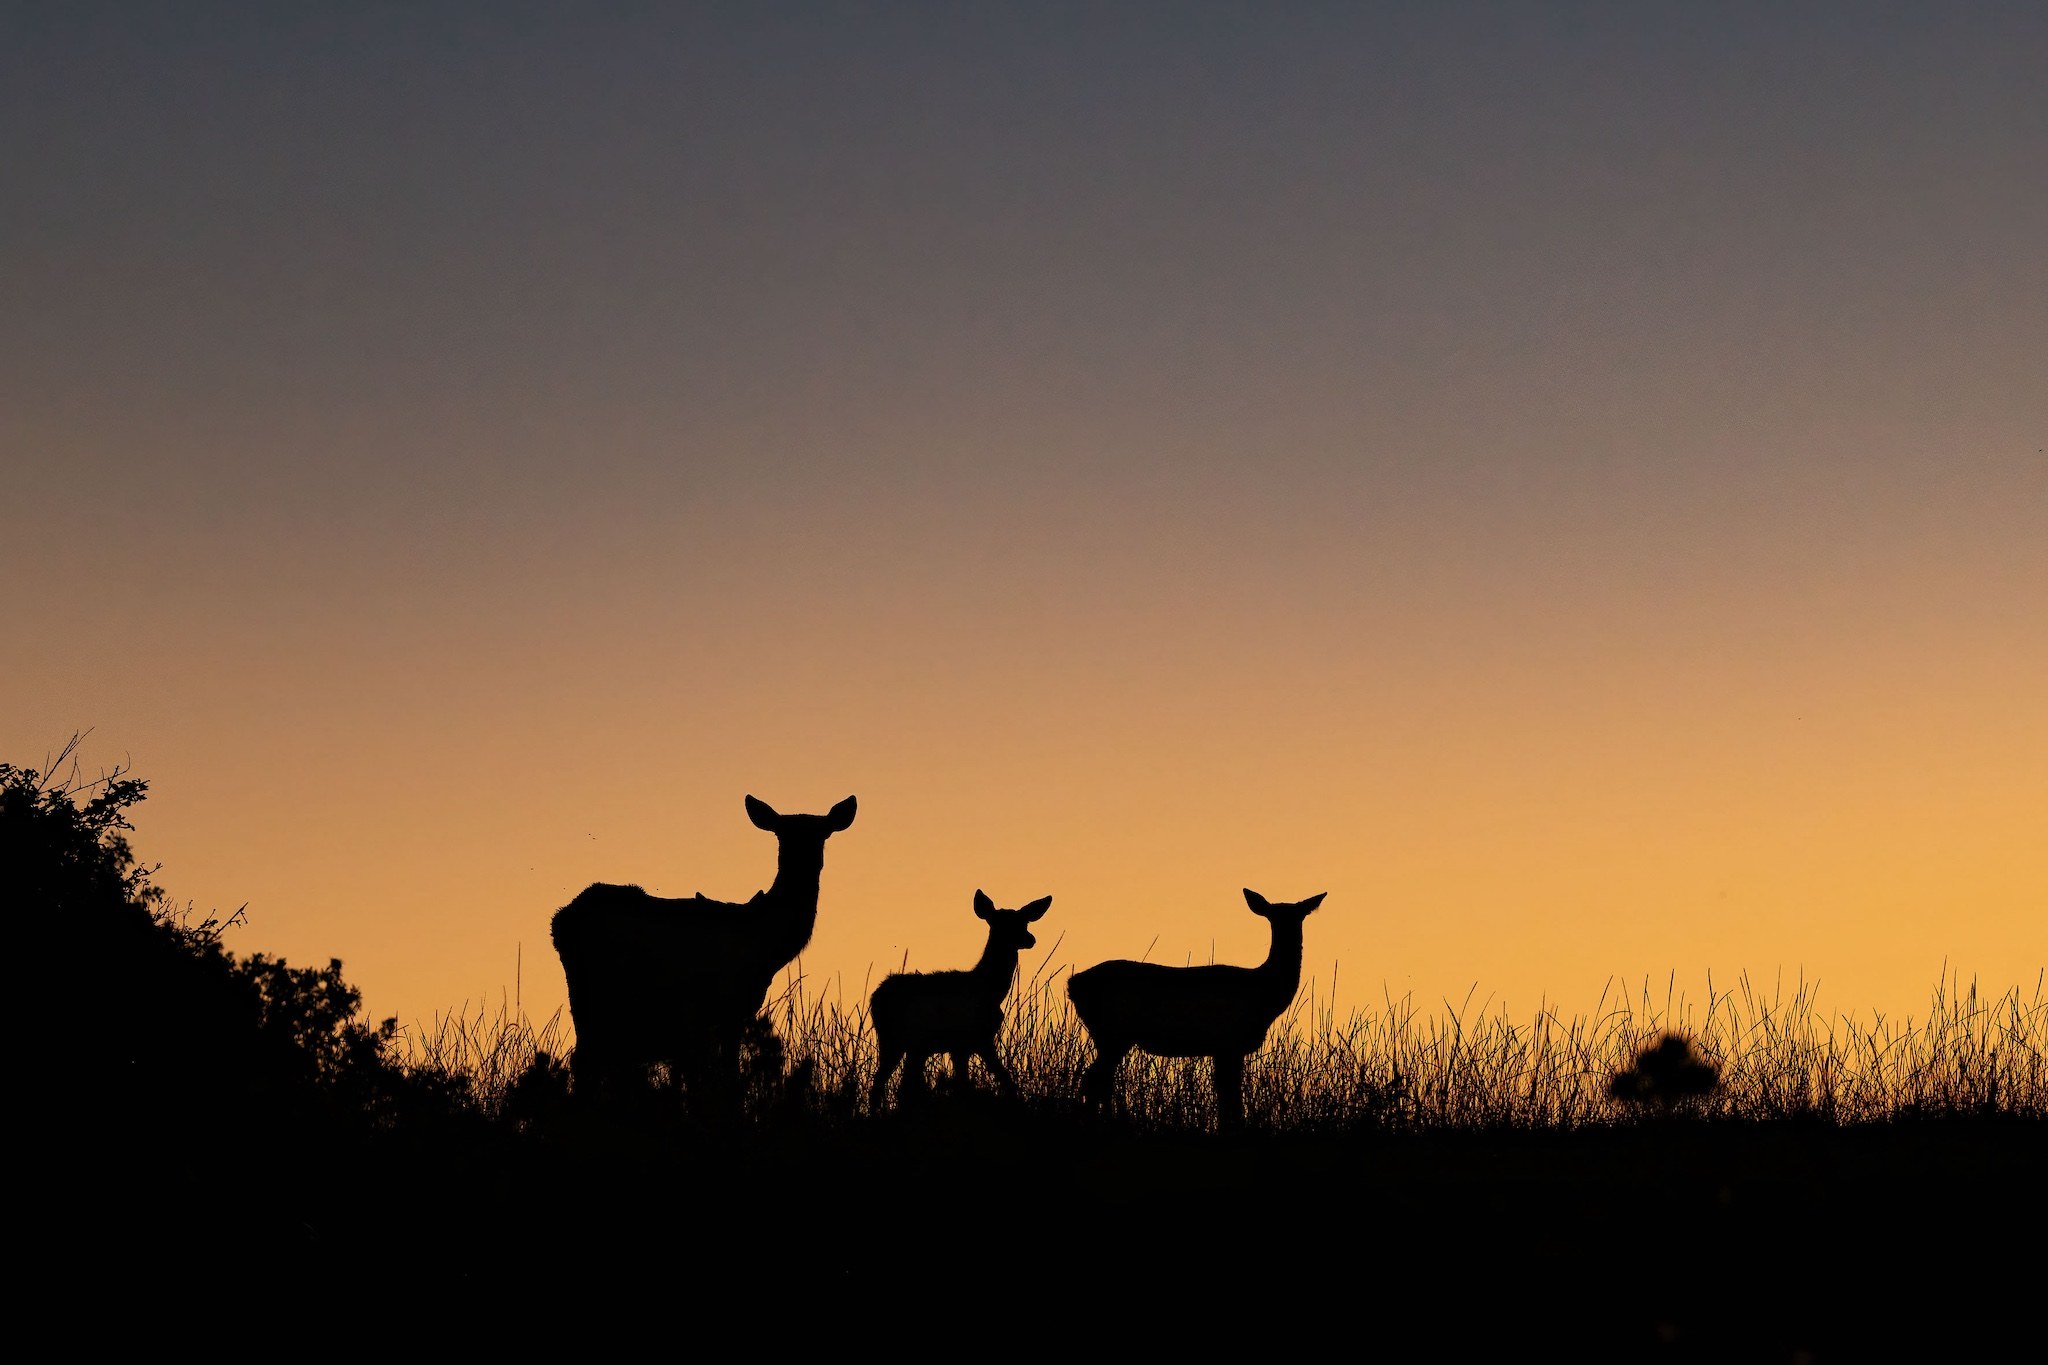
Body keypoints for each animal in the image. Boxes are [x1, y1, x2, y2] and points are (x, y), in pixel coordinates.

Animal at [550, 794, 856, 1100]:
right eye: (782, 835)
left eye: (822, 834)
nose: (805, 863)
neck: (766, 946)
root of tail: (563, 921)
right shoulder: (729, 1003)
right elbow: (725, 1074)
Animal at [868, 890, 1051, 1110]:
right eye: (1001, 923)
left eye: (1024, 922)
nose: (1030, 939)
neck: (989, 989)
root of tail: (875, 997)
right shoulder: (972, 1040)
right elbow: (987, 1083)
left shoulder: (967, 1043)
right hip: (894, 1039)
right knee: (884, 1084)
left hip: (912, 1045)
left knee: (899, 1084)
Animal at [1066, 887, 1326, 1129]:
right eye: (1274, 917)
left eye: (1300, 915)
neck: (1265, 994)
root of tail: (1074, 984)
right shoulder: (1229, 1042)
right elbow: (1231, 1095)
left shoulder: (1224, 1048)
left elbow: (1225, 1093)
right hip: (1113, 1033)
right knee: (1095, 1081)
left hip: (1109, 1036)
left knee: (1097, 1081)